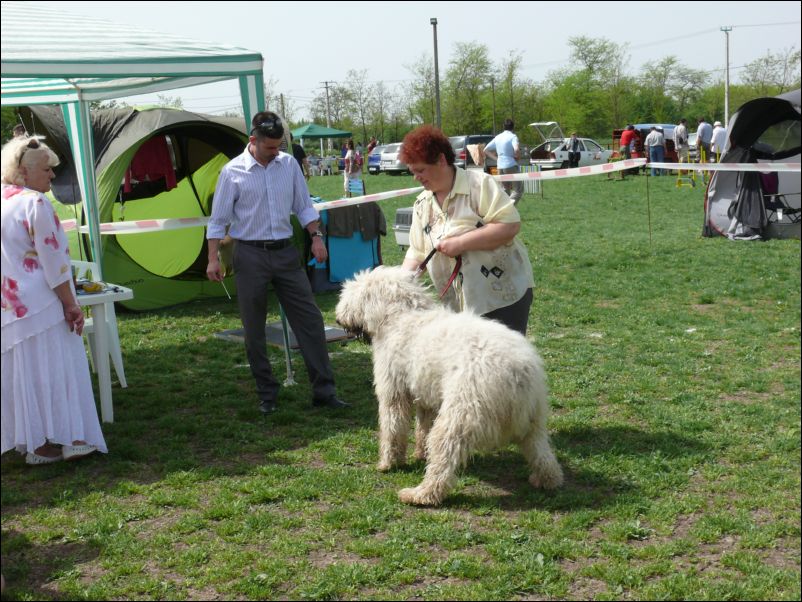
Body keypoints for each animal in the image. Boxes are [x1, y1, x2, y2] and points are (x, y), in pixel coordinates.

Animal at [335, 266, 563, 506]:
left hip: (459, 418)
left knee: (442, 465)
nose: (338, 319)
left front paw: (388, 463)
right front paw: (420, 453)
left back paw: (419, 495)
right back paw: (548, 480)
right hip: (533, 421)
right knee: (543, 455)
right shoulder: (426, 397)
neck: (401, 317)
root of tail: (518, 371)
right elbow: (422, 429)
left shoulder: (393, 393)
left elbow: (393, 429)